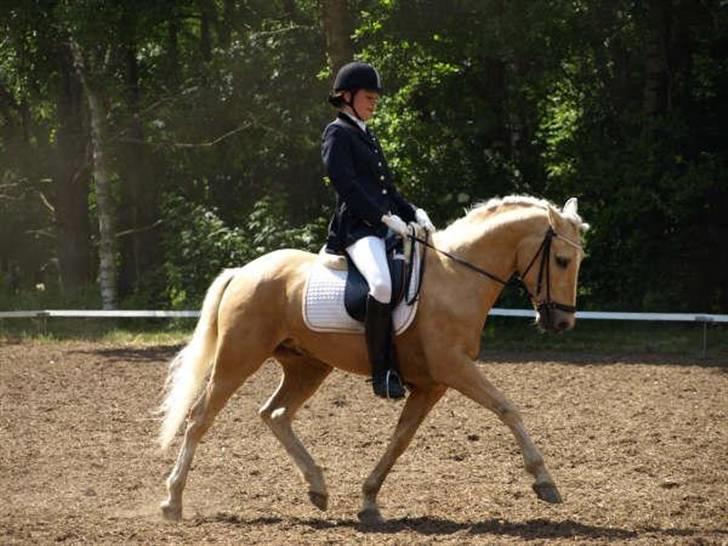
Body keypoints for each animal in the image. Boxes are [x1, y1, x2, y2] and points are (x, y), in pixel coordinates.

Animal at [158, 194, 588, 523]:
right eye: (562, 261)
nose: (564, 322)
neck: (457, 277)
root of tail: (244, 271)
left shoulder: (432, 385)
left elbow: (400, 439)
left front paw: (368, 501)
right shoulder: (455, 368)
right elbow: (507, 407)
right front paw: (545, 481)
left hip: (307, 366)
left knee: (275, 414)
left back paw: (318, 488)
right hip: (238, 358)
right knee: (200, 418)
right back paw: (172, 502)